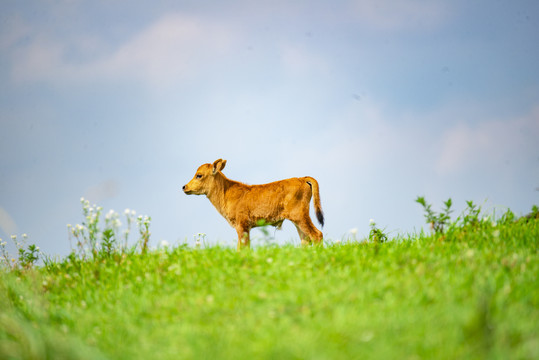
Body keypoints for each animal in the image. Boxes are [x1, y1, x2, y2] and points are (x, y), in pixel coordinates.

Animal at [181, 159, 324, 249]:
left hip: (299, 216)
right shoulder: (246, 227)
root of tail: (301, 178)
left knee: (317, 235)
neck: (226, 192)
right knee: (305, 240)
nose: (184, 187)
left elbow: (242, 248)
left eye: (199, 175)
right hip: (297, 220)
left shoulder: (241, 225)